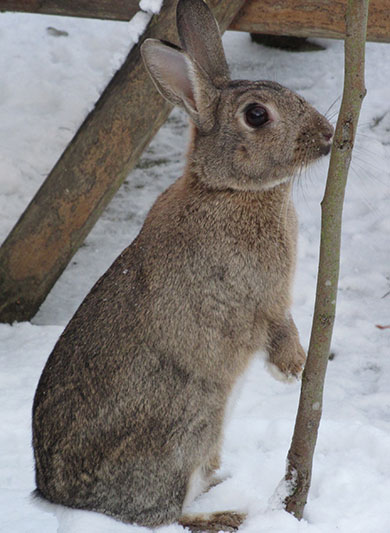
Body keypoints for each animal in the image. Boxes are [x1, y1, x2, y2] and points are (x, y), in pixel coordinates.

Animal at [32, 0, 334, 528]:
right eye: (257, 115)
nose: (328, 136)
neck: (226, 189)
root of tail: (60, 495)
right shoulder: (262, 294)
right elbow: (277, 326)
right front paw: (294, 370)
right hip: (191, 425)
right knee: (163, 514)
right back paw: (224, 516)